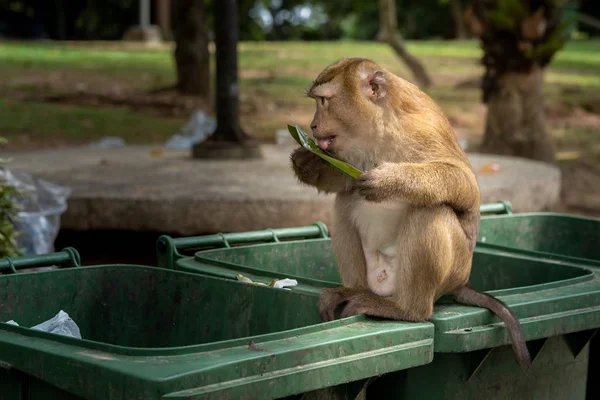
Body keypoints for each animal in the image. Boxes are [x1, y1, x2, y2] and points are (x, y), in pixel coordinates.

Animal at [290, 57, 528, 368]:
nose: (313, 124)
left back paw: (408, 311)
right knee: (344, 201)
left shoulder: (422, 129)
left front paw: (390, 181)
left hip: (451, 271)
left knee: (430, 210)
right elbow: (344, 181)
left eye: (323, 101)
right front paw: (306, 161)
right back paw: (354, 291)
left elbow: (464, 184)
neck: (380, 127)